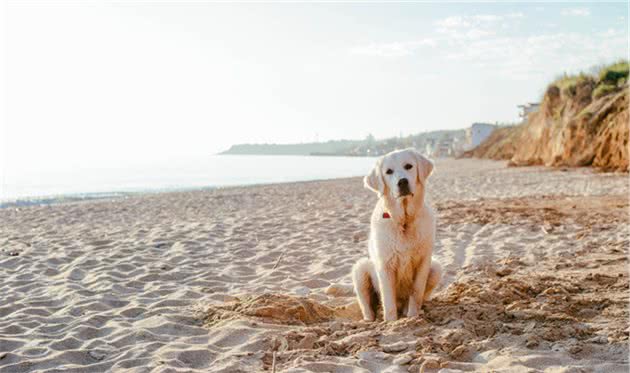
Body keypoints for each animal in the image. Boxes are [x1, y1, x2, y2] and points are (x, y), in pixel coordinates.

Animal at [354, 147, 442, 320]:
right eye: (389, 172)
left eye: (409, 166)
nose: (402, 182)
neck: (405, 221)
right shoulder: (385, 265)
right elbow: (388, 300)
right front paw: (391, 322)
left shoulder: (423, 261)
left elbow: (416, 293)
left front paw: (413, 317)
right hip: (360, 269)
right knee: (368, 307)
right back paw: (370, 319)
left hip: (436, 268)